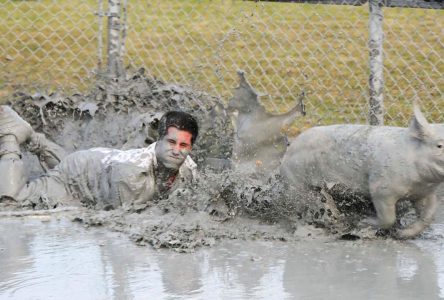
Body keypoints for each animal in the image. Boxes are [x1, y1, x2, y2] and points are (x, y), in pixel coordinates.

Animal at [280, 104, 444, 238]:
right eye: (439, 146)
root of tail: (289, 150)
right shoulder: (381, 188)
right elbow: (388, 217)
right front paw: (363, 223)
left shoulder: (423, 193)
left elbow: (429, 215)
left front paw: (401, 234)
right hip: (296, 183)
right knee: (299, 207)